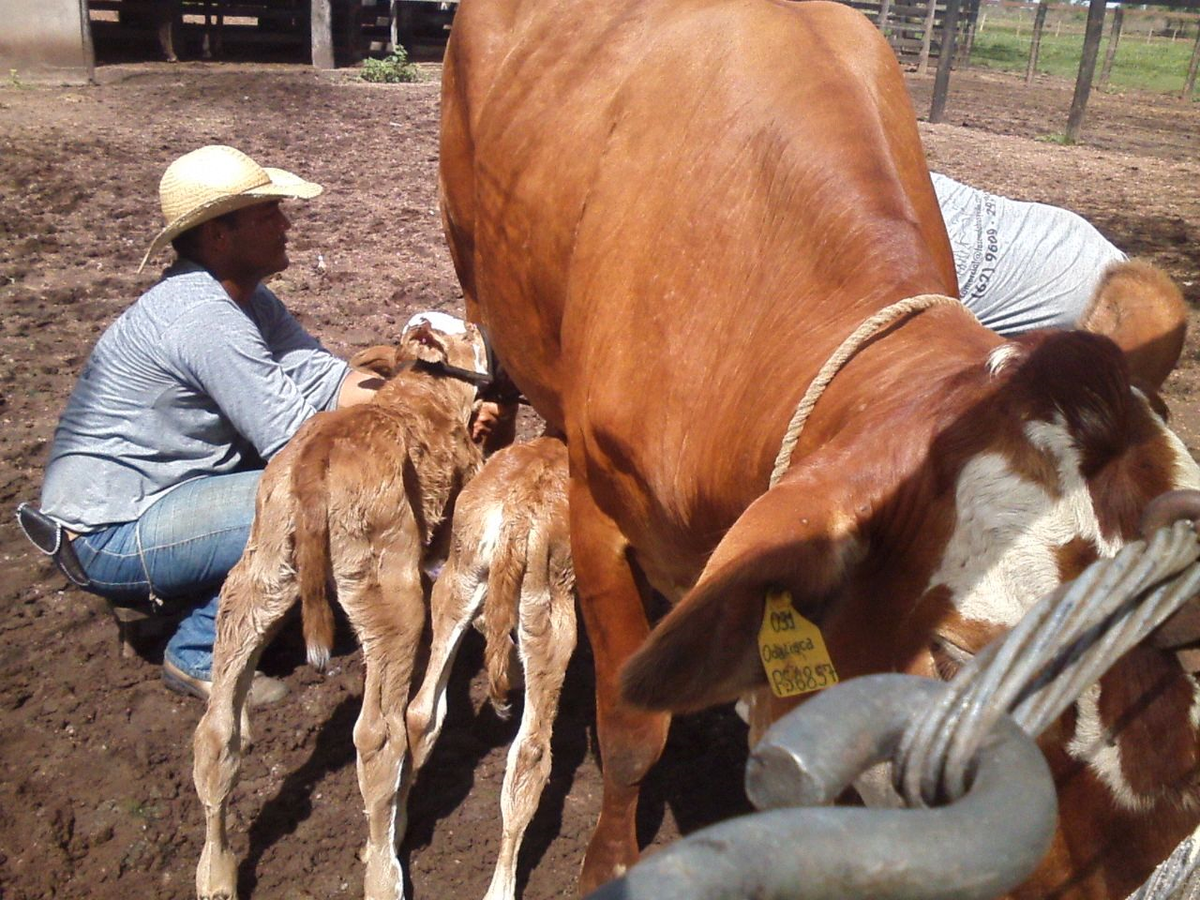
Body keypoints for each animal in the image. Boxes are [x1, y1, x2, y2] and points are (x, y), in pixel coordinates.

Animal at [437, 0, 1200, 896]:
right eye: (953, 658)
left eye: (1181, 610)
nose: (1160, 863)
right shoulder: (602, 513)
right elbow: (630, 733)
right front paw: (606, 865)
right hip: (471, 258)